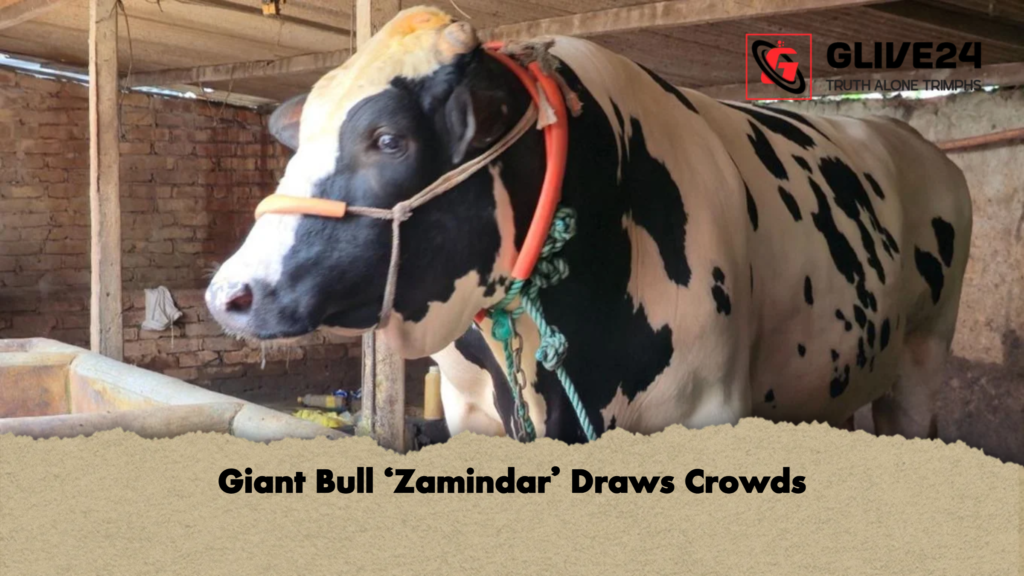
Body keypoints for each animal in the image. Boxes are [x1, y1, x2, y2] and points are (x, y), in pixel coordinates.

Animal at [205, 6, 972, 444]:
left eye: (388, 140)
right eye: (298, 142)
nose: (228, 295)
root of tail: (912, 141)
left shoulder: (703, 413)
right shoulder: (475, 421)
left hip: (922, 360)